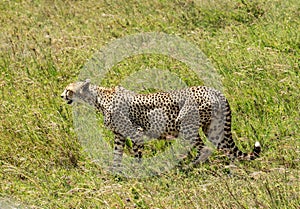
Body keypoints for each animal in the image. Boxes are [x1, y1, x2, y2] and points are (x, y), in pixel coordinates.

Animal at [60, 79, 260, 169]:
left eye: (69, 90)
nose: (62, 96)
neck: (98, 98)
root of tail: (214, 90)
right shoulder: (119, 135)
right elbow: (116, 154)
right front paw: (114, 172)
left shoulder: (136, 131)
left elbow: (137, 155)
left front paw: (138, 171)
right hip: (213, 127)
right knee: (226, 149)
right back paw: (231, 168)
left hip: (186, 124)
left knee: (204, 148)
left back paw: (189, 167)